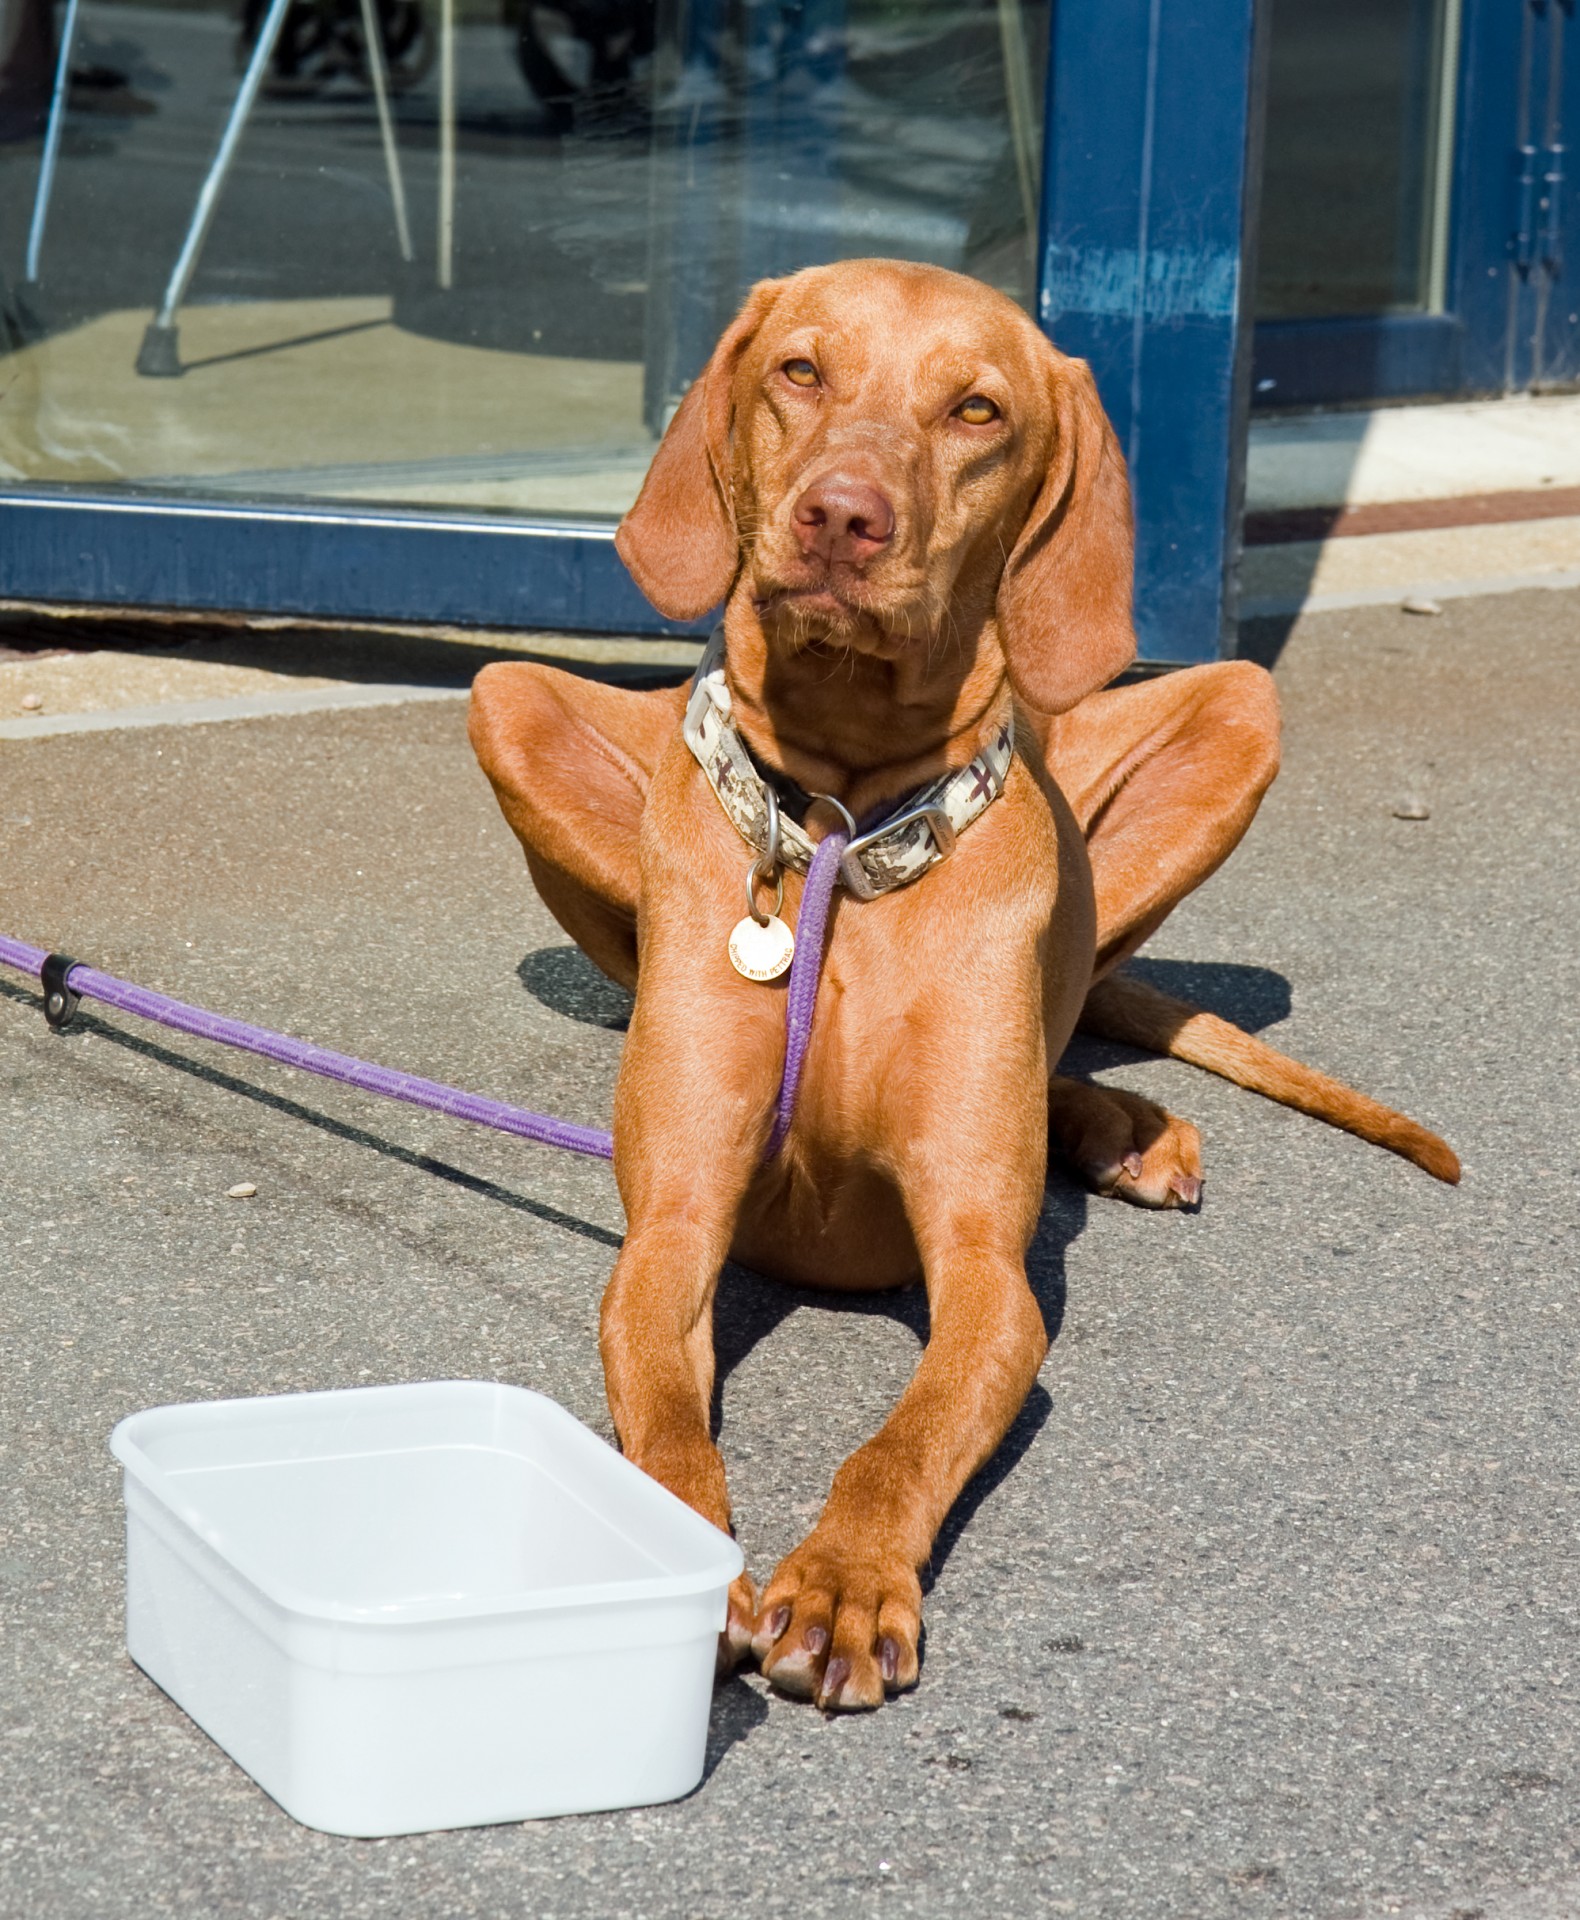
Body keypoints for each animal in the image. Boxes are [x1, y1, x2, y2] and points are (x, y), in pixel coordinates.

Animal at [470, 255, 1459, 1712]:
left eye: (976, 409)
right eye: (802, 370)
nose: (842, 517)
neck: (842, 810)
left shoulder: (990, 1273)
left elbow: (907, 1434)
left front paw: (840, 1581)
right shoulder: (673, 1228)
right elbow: (664, 1422)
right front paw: (683, 1557)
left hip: (1237, 714)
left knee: (1073, 1021)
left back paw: (1121, 1125)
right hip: (505, 703)